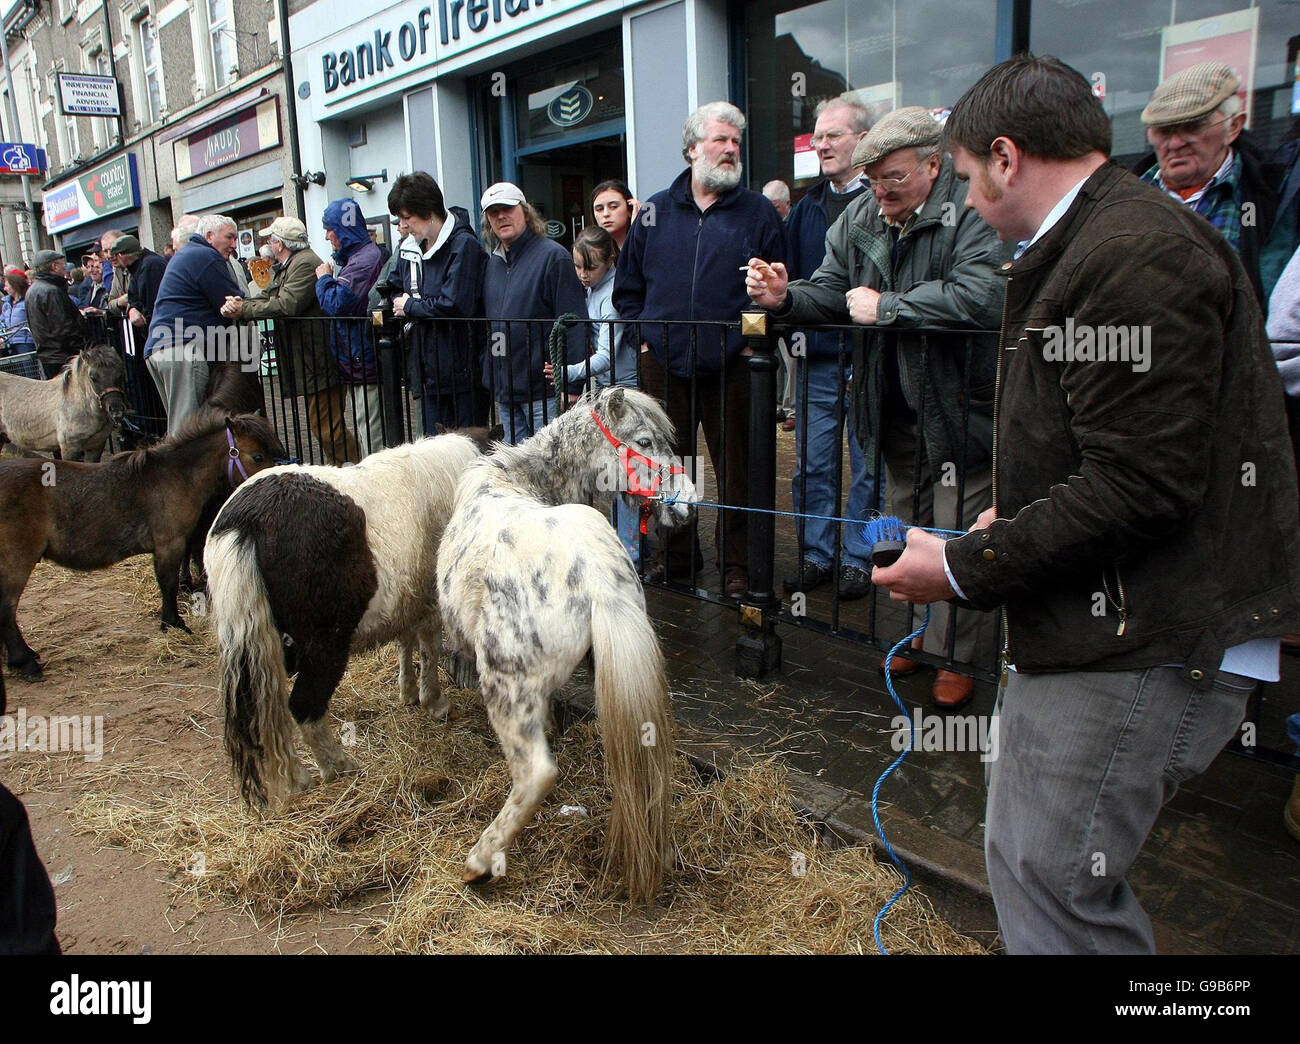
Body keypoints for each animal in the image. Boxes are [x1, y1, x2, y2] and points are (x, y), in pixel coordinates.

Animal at [0, 408, 286, 686]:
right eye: (258, 456)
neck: (176, 477)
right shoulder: (169, 545)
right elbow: (168, 585)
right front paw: (173, 623)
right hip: (17, 561)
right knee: (7, 608)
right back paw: (25, 662)